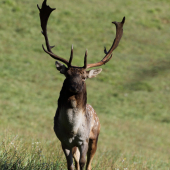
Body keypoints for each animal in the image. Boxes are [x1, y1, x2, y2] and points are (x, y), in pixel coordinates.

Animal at [37, 0, 125, 169]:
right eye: (67, 74)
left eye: (84, 78)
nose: (74, 87)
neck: (72, 130)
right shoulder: (63, 142)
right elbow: (71, 164)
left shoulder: (83, 140)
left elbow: (84, 162)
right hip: (75, 145)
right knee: (76, 159)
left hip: (95, 136)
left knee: (90, 160)